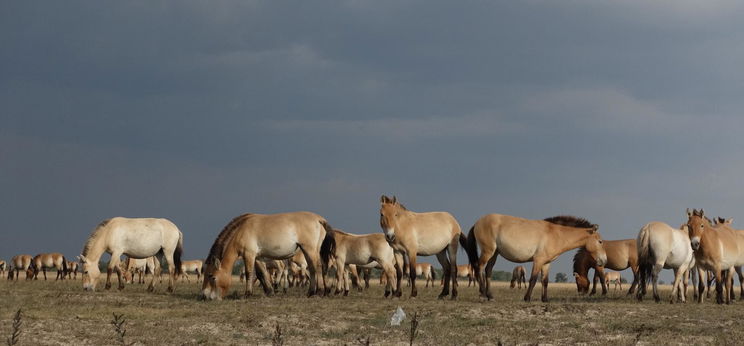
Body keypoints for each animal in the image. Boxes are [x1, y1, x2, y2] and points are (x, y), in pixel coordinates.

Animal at [202, 211, 332, 300]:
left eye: (212, 276)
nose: (204, 295)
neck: (242, 229)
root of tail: (319, 219)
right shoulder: (257, 257)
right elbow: (261, 273)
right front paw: (269, 291)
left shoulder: (249, 255)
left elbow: (249, 273)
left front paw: (248, 294)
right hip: (308, 251)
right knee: (312, 269)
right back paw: (311, 292)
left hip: (309, 249)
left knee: (317, 267)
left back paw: (319, 292)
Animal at [462, 215, 608, 302]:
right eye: (600, 241)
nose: (604, 260)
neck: (555, 234)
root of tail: (477, 223)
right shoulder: (538, 261)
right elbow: (533, 279)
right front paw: (527, 298)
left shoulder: (546, 263)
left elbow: (545, 281)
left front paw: (545, 299)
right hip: (488, 251)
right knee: (479, 268)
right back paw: (482, 294)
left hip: (494, 254)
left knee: (488, 271)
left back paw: (490, 296)